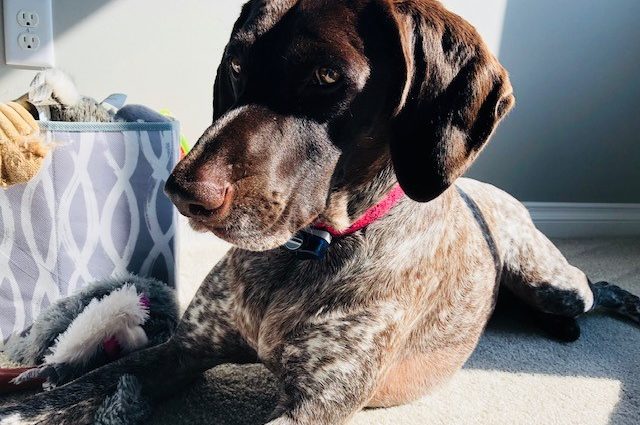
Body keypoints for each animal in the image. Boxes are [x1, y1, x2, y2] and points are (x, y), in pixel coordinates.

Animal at [2, 0, 636, 424]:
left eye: (326, 77)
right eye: (235, 67)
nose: (181, 191)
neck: (302, 254)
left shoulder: (312, 405)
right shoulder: (184, 349)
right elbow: (86, 384)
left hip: (550, 279)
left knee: (594, 286)